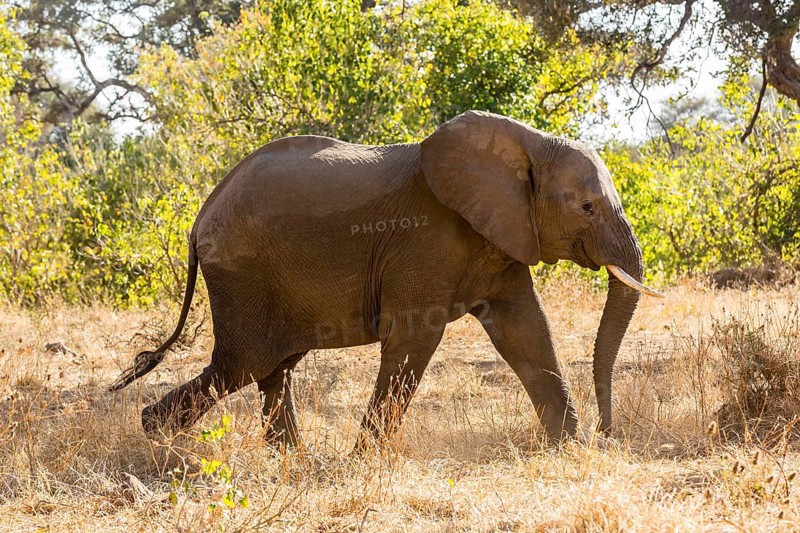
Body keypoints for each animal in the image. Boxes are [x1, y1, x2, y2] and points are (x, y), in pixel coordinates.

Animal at [110, 110, 662, 447]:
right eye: (587, 208)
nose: (609, 432)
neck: (529, 141)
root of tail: (200, 216)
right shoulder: (427, 241)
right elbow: (415, 338)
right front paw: (364, 461)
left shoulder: (502, 236)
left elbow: (527, 332)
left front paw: (571, 450)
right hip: (243, 274)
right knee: (244, 363)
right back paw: (162, 444)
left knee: (274, 368)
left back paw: (293, 463)